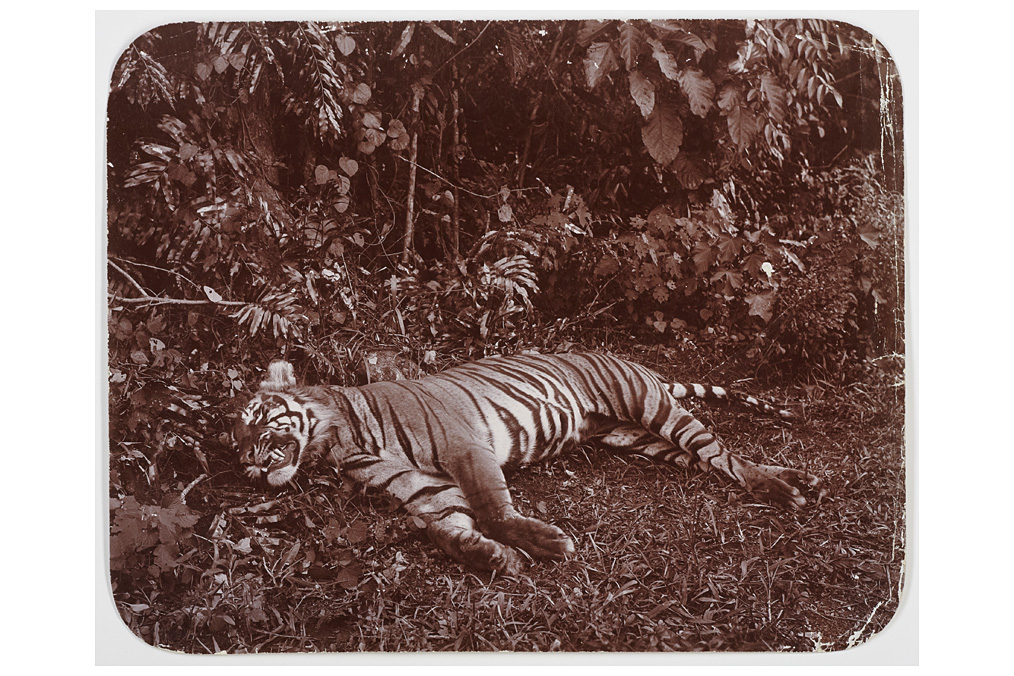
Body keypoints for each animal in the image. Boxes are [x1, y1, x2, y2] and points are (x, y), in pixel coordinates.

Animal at [235, 352, 824, 574]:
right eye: (234, 440)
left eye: (257, 418)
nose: (247, 464)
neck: (336, 438)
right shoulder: (423, 487)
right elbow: (445, 528)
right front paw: (493, 558)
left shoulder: (464, 447)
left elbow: (494, 510)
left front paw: (544, 543)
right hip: (637, 438)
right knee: (705, 461)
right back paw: (796, 480)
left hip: (649, 405)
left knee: (723, 454)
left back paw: (784, 488)